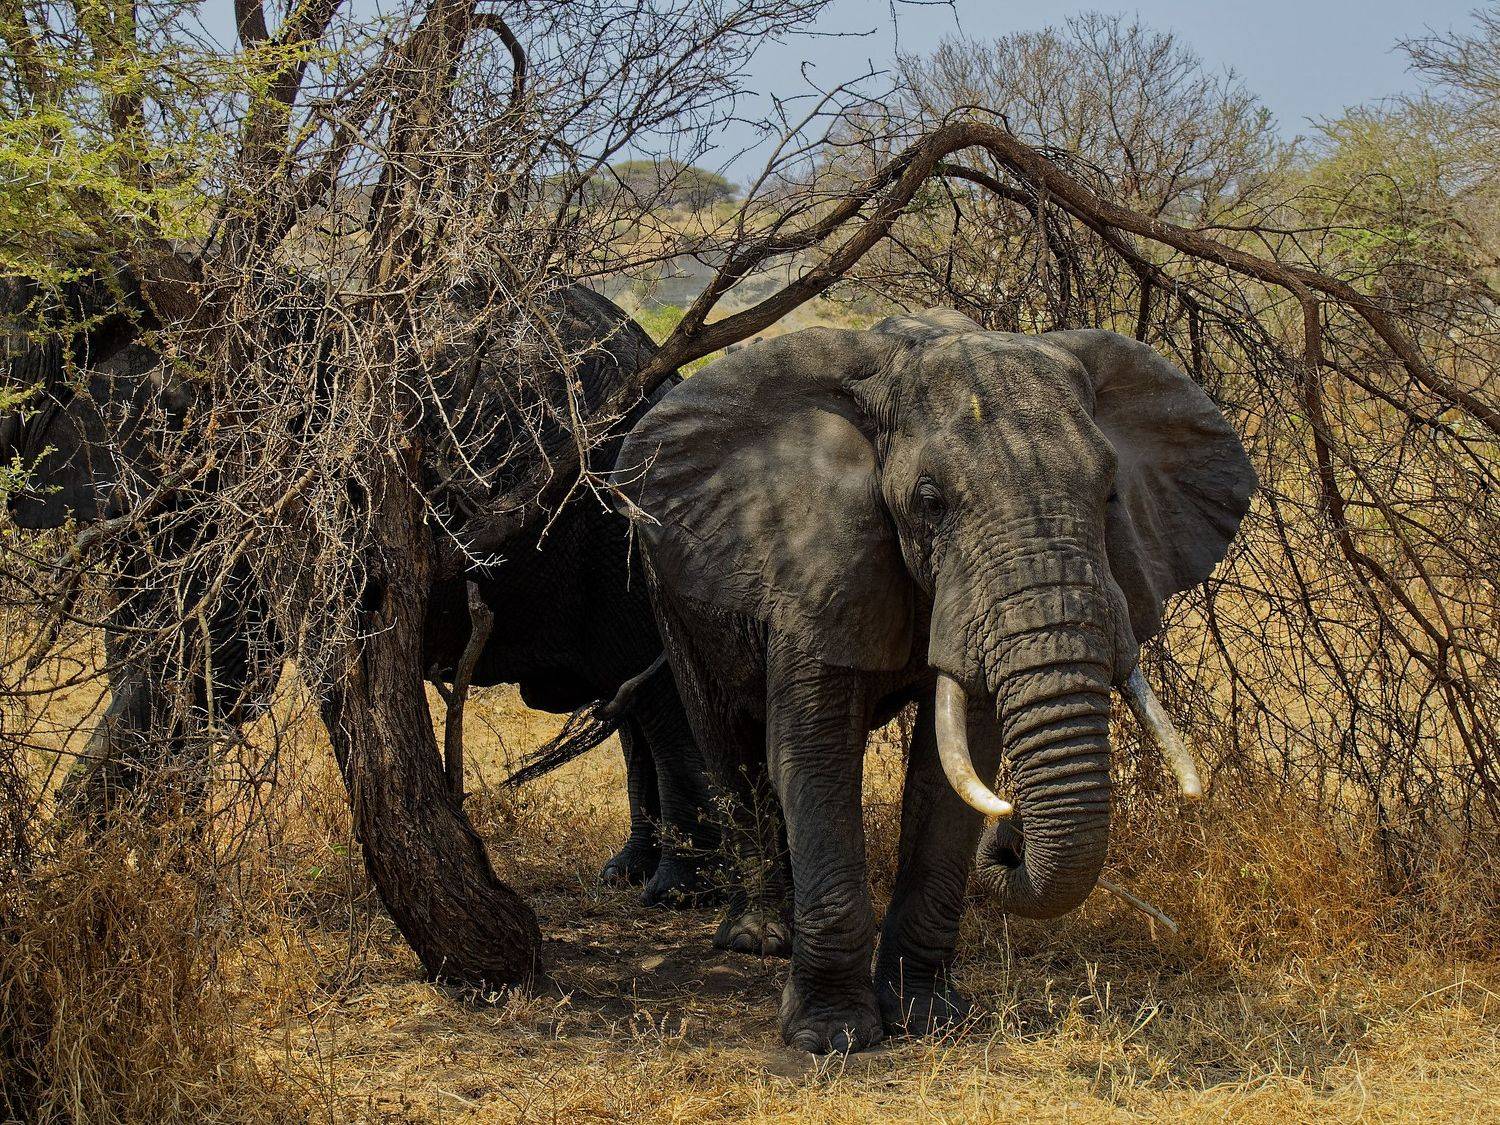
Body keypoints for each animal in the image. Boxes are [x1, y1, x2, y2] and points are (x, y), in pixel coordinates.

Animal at [0, 264, 718, 904]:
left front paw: (69, 878)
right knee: (628, 700)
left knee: (658, 698)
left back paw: (676, 892)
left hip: (620, 525)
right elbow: (155, 659)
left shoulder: (258, 483)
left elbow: (210, 672)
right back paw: (623, 874)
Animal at [612, 309, 1256, 1053]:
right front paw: (831, 1037)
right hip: (667, 588)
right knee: (730, 748)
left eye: (1109, 494)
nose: (1009, 840)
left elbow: (953, 770)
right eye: (930, 501)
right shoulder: (815, 565)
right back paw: (760, 936)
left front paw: (928, 1019)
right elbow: (815, 755)